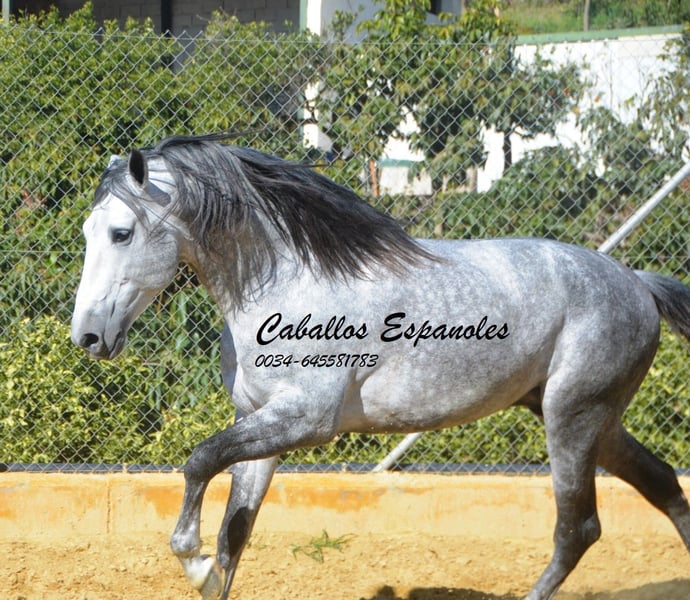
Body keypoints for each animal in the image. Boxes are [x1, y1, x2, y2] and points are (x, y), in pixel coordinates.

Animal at [70, 132, 690, 600]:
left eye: (121, 233)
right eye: (87, 231)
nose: (88, 336)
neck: (285, 282)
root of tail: (637, 283)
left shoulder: (306, 420)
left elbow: (199, 464)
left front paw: (191, 561)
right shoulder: (259, 420)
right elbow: (234, 537)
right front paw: (208, 566)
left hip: (573, 417)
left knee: (577, 529)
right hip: (591, 418)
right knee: (661, 485)